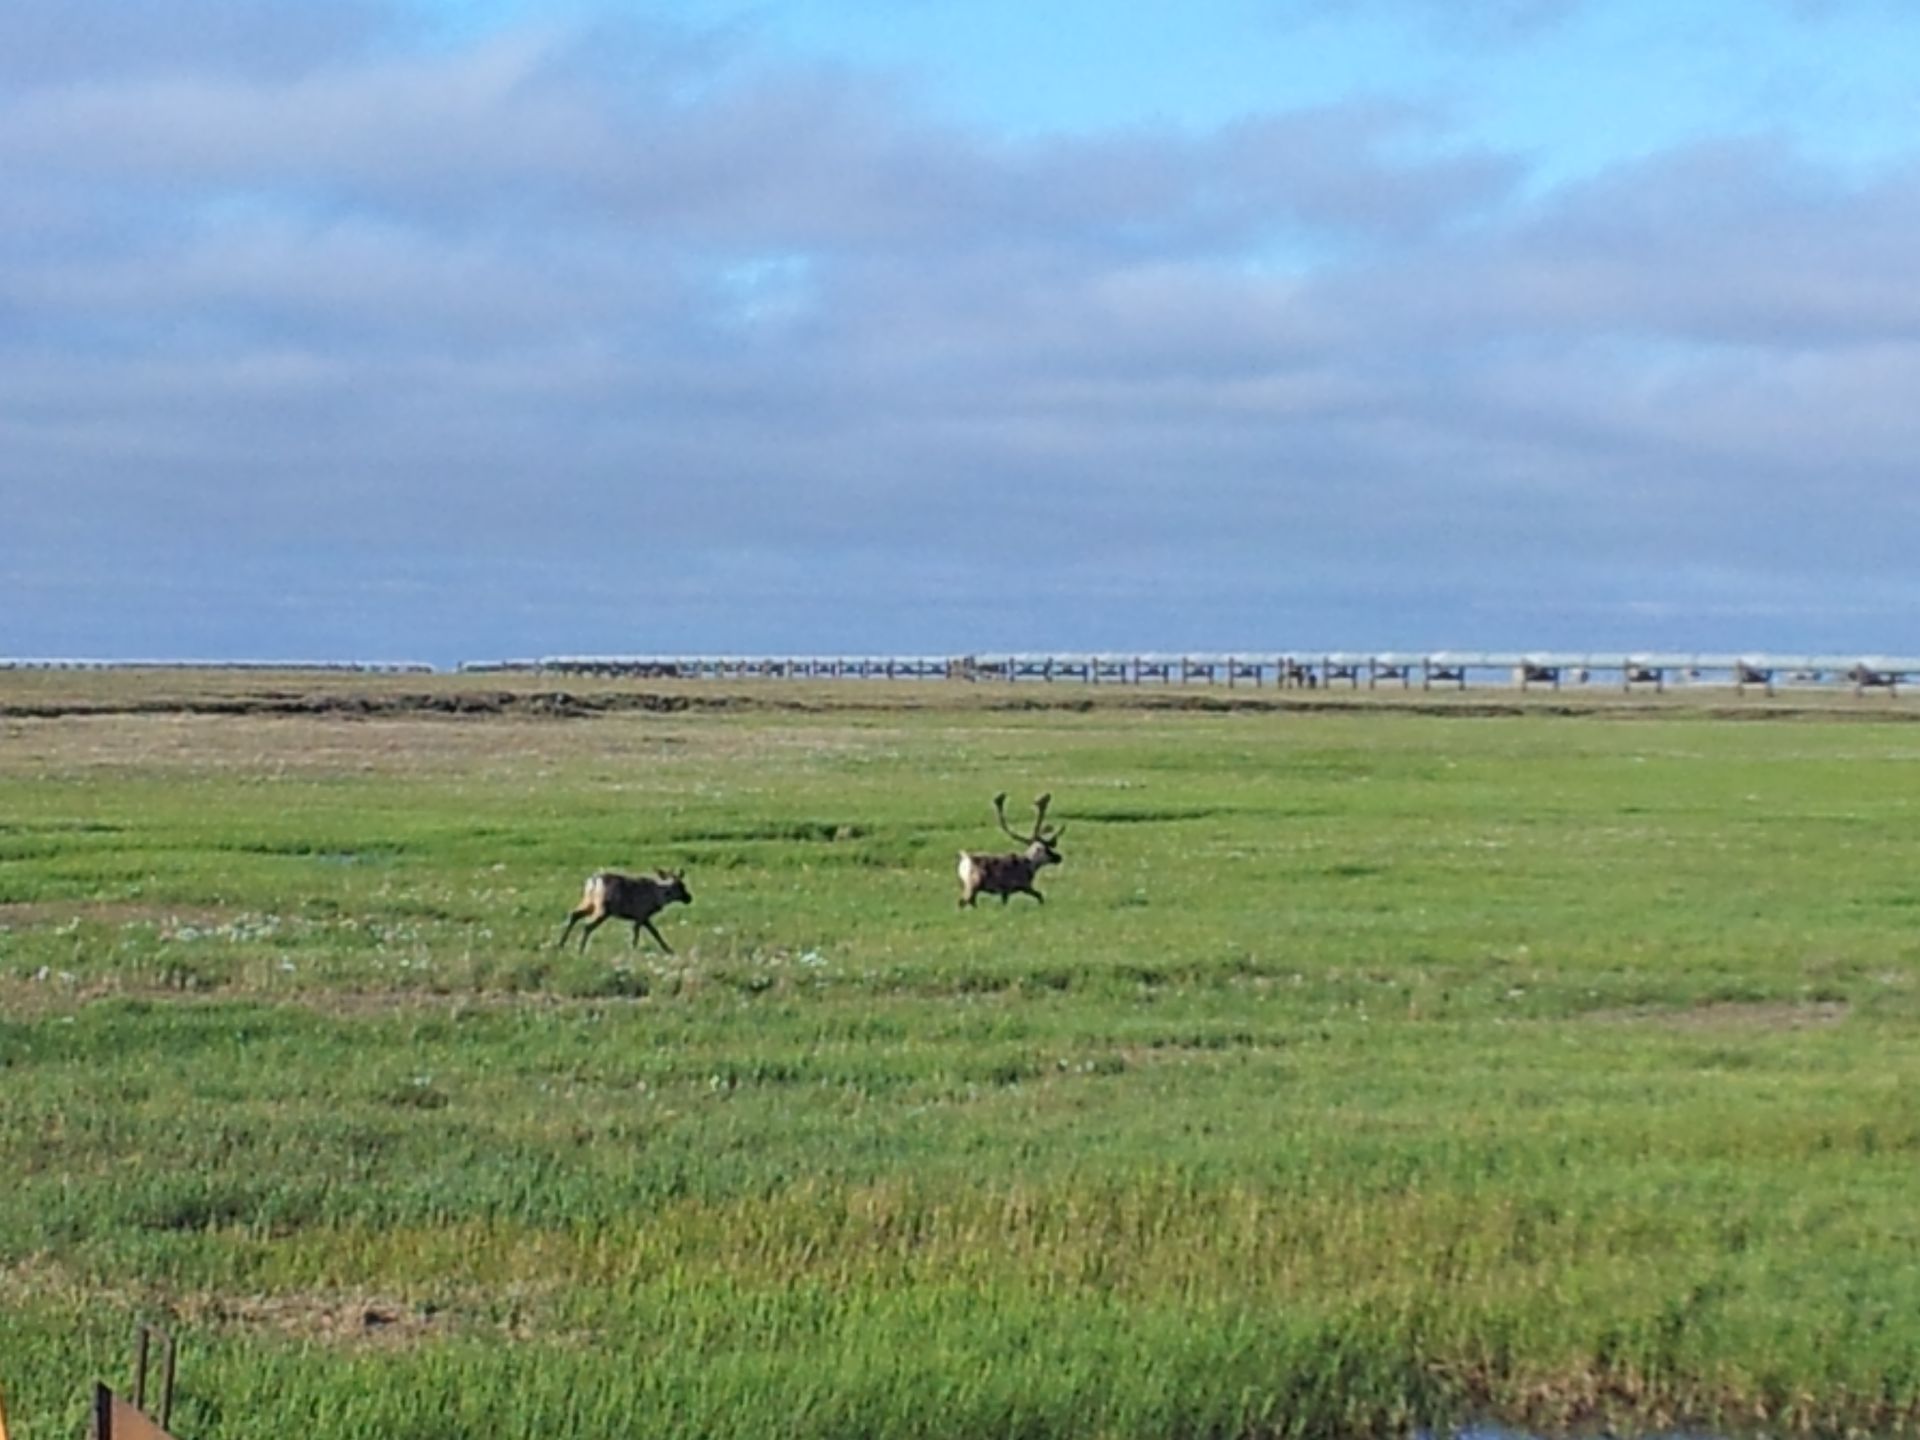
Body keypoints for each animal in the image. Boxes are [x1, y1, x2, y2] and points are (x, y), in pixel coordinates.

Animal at [558, 870, 693, 953]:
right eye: (681, 886)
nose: (689, 898)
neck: (658, 897)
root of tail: (593, 881)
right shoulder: (641, 915)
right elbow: (637, 934)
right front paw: (633, 949)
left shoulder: (644, 917)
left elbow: (655, 933)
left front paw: (669, 950)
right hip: (603, 908)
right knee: (587, 925)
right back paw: (580, 950)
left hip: (588, 902)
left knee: (574, 915)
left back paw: (560, 945)